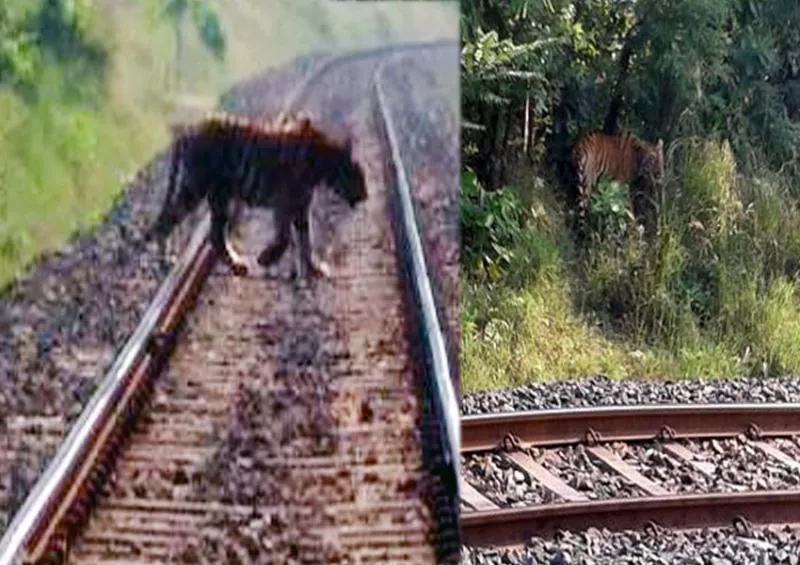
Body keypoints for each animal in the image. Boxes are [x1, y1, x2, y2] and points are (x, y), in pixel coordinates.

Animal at [146, 109, 366, 278]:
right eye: (358, 175)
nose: (365, 195)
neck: (322, 162)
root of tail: (189, 131)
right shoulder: (285, 202)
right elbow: (285, 236)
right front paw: (266, 258)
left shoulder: (300, 205)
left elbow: (305, 239)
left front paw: (314, 269)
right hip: (196, 188)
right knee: (168, 220)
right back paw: (165, 260)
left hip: (220, 195)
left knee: (215, 234)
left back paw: (237, 266)